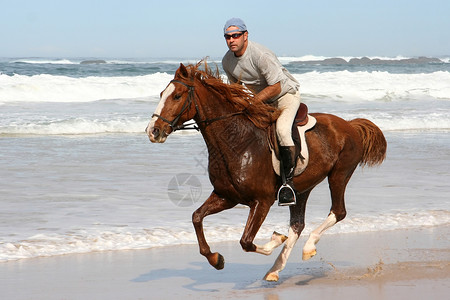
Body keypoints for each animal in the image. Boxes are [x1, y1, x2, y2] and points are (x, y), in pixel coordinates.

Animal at [145, 61, 386, 282]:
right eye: (161, 94)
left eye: (177, 96)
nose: (153, 131)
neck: (236, 142)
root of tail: (350, 125)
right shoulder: (226, 197)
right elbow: (197, 217)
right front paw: (216, 259)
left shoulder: (261, 202)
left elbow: (245, 241)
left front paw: (275, 240)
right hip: (302, 188)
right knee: (297, 225)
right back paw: (275, 269)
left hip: (339, 175)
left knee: (338, 212)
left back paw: (307, 247)